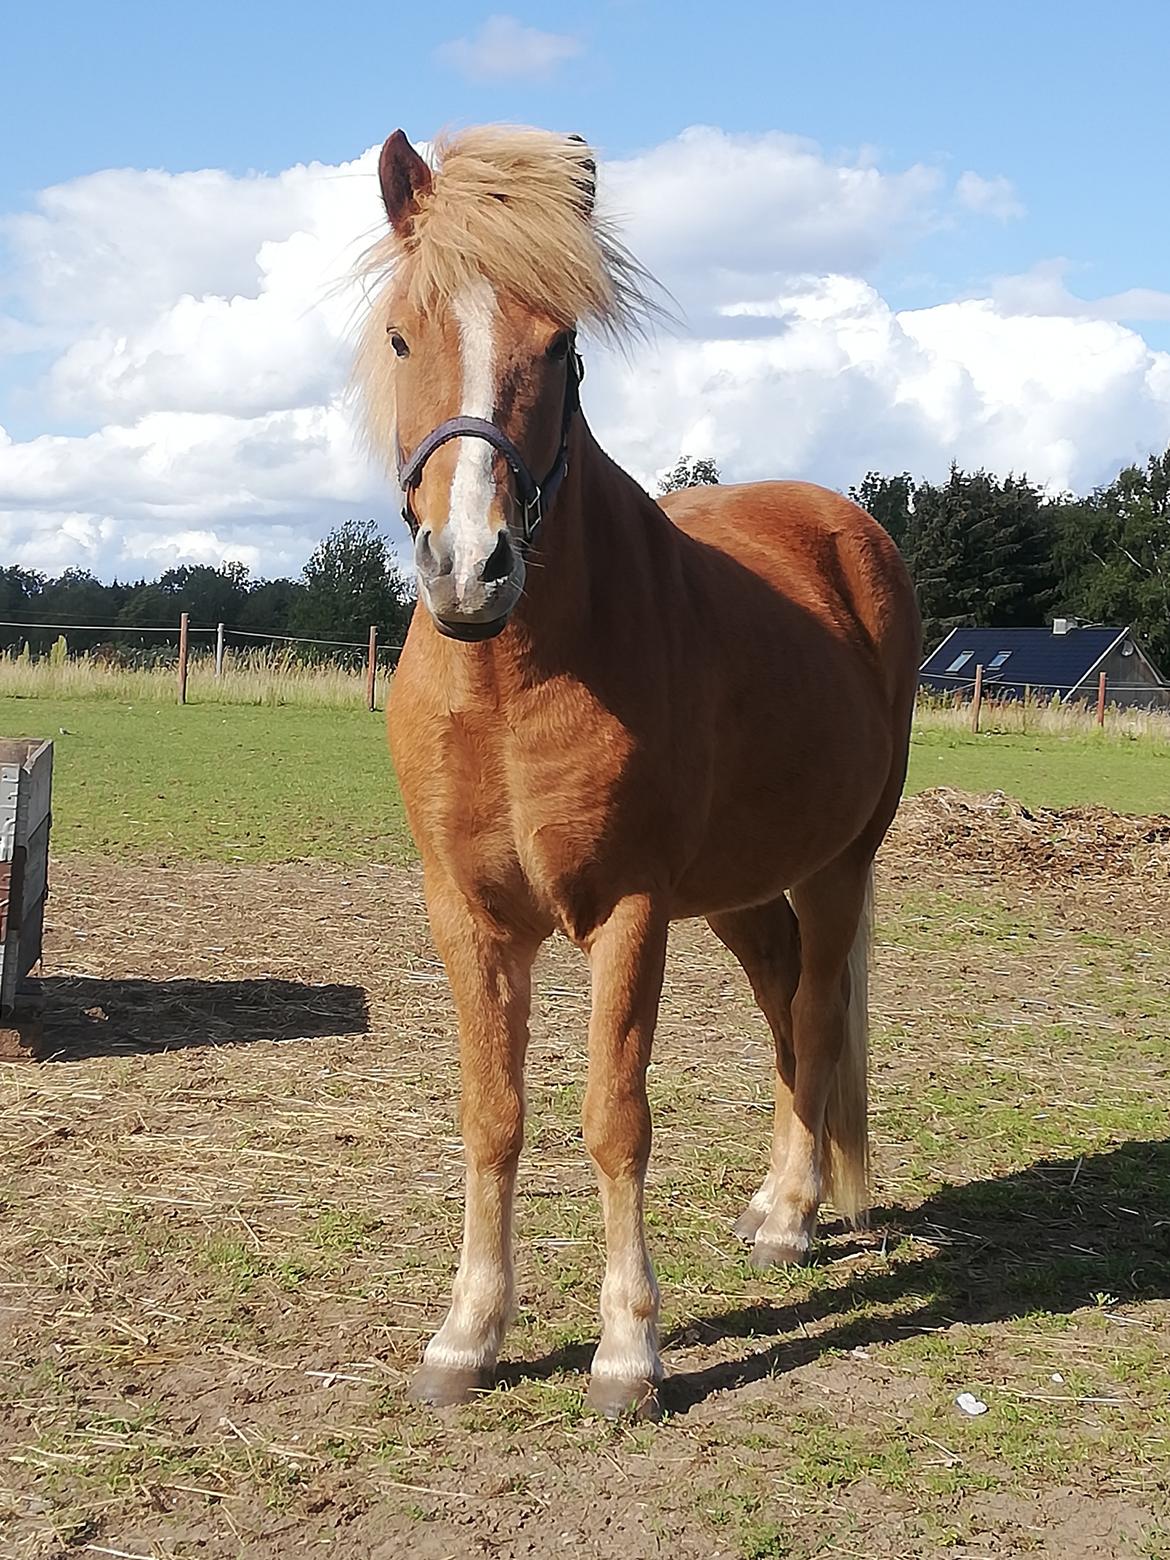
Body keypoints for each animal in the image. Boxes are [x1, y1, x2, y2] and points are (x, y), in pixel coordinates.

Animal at [352, 131, 923, 1428]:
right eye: (404, 336)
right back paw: (776, 1201)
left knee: (817, 1011)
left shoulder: (629, 910)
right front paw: (468, 1335)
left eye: (562, 347)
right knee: (783, 1009)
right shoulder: (467, 915)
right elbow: (492, 1114)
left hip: (835, 867)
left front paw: (627, 1352)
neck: (513, 674)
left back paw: (795, 1220)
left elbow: (615, 1120)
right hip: (742, 893)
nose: (471, 567)